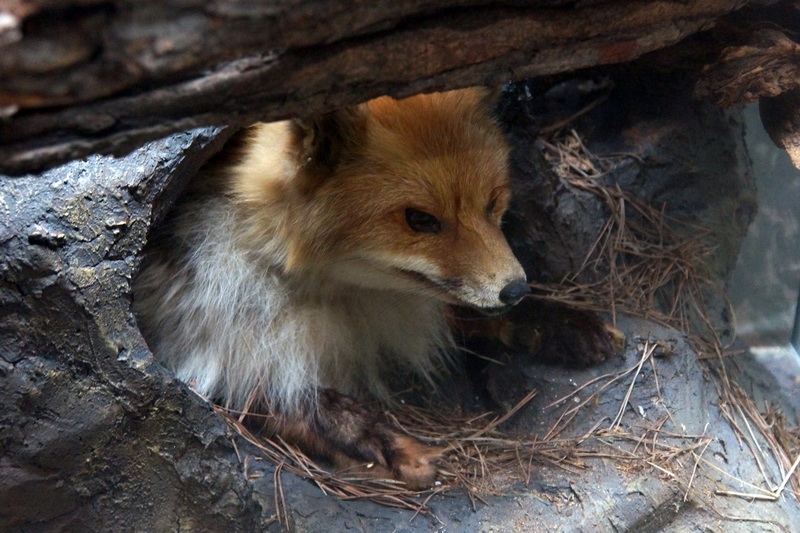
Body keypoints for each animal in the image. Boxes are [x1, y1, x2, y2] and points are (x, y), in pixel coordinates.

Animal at [133, 86, 608, 486]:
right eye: (420, 219)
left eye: (492, 203)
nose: (515, 290)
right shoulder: (206, 331)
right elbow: (299, 402)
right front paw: (381, 444)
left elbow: (462, 311)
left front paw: (555, 322)